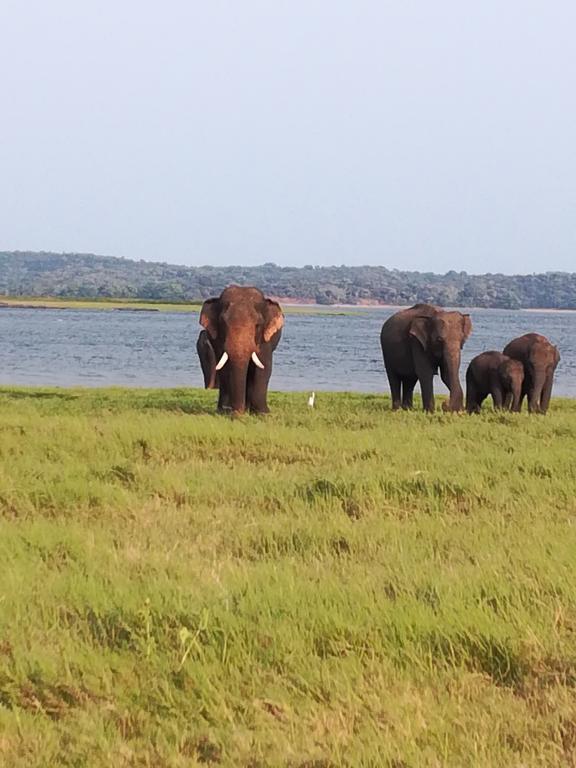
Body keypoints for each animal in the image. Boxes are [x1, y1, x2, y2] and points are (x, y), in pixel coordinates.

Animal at [199, 284, 284, 414]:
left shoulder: (266, 339)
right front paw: (225, 410)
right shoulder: (217, 339)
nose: (238, 414)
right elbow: (224, 367)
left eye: (258, 325)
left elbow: (264, 367)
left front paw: (263, 413)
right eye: (223, 323)